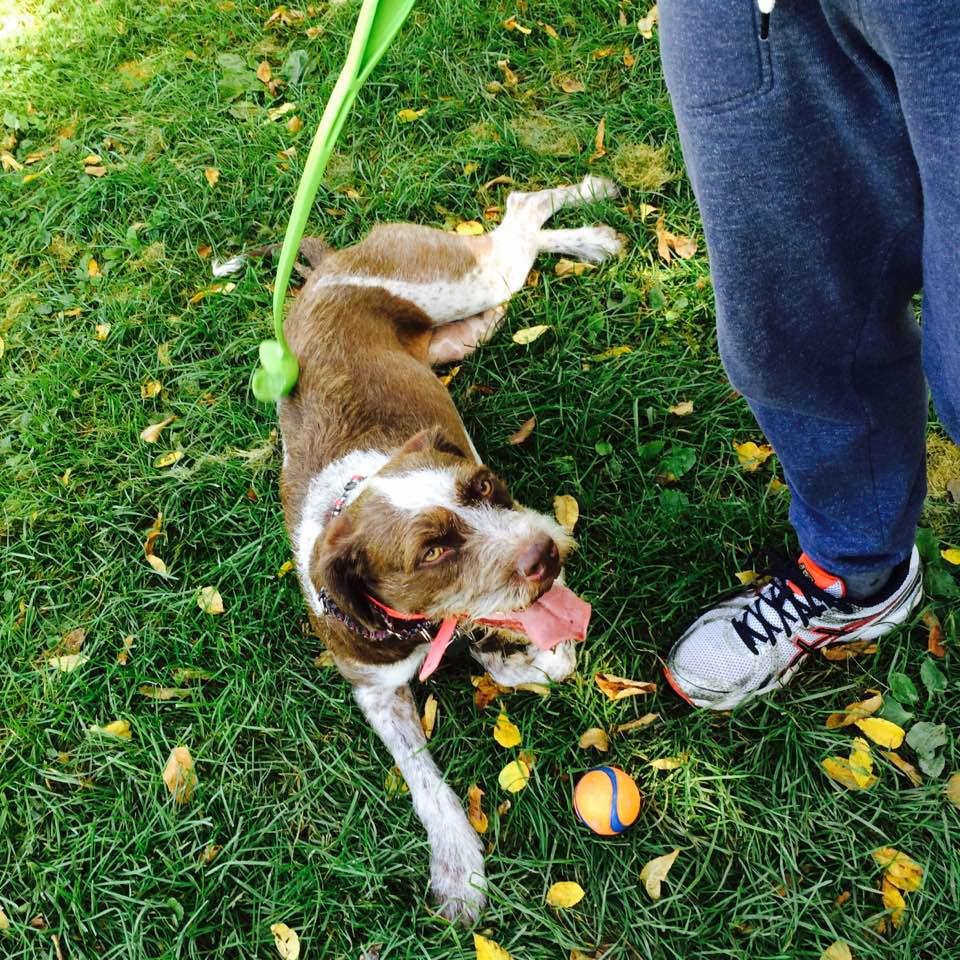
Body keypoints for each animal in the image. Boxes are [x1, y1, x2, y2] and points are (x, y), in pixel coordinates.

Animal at [278, 174, 624, 924]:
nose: (548, 555)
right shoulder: (374, 689)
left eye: (485, 483)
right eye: (431, 553)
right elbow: (425, 779)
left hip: (458, 285)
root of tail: (329, 267)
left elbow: (543, 659)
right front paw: (458, 865)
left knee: (520, 213)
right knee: (511, 245)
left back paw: (588, 217)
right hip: (457, 332)